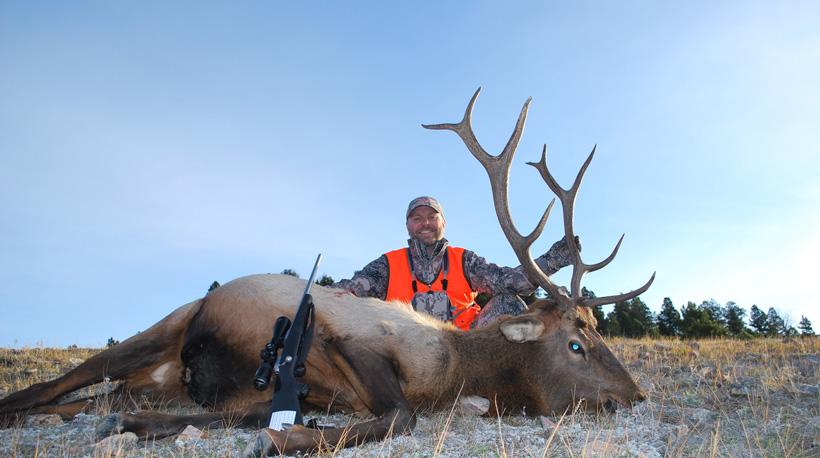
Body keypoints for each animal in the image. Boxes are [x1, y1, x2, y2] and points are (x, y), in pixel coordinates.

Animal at [0, 88, 654, 456]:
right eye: (576, 343)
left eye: (598, 332)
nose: (637, 396)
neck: (457, 372)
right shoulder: (356, 343)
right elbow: (400, 416)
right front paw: (286, 438)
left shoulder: (310, 392)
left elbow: (251, 412)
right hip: (170, 321)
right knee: (57, 382)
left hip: (158, 375)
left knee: (94, 398)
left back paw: (102, 415)